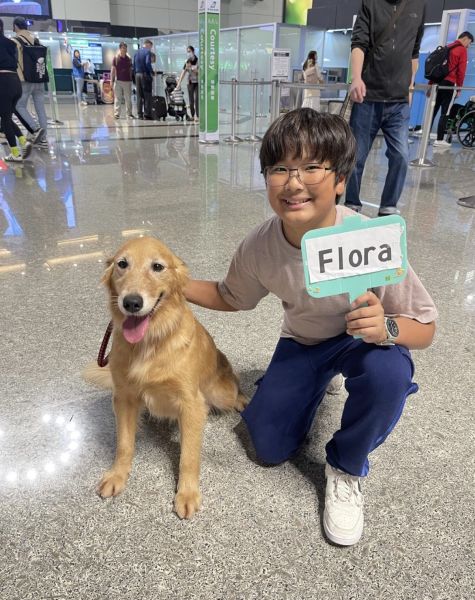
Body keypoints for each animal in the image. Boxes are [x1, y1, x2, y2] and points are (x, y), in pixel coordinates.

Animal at [83, 236, 246, 519]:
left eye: (157, 267)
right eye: (122, 264)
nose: (132, 302)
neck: (149, 343)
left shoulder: (191, 404)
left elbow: (189, 457)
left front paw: (187, 494)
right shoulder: (124, 397)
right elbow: (124, 443)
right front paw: (117, 475)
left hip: (220, 393)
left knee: (233, 391)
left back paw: (243, 399)